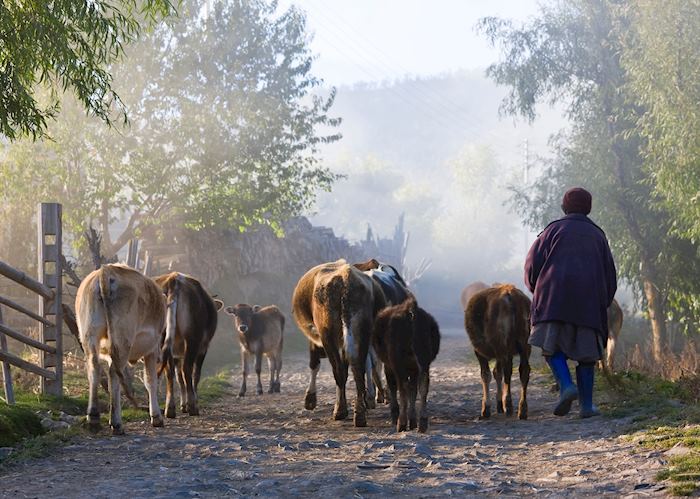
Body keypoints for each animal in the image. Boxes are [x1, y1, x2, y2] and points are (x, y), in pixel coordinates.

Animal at [75, 266, 165, 434]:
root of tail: (106, 271)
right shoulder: (151, 350)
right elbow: (150, 381)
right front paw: (156, 417)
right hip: (123, 339)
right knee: (114, 374)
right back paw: (116, 423)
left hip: (90, 335)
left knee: (95, 369)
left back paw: (93, 417)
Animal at [153, 274, 221, 418]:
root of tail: (174, 277)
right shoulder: (203, 348)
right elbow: (196, 374)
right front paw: (192, 402)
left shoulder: (176, 354)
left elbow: (179, 378)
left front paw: (182, 405)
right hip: (192, 339)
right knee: (187, 369)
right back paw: (193, 407)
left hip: (163, 339)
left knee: (169, 372)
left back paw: (170, 408)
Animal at [292, 260, 386, 428]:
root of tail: (346, 277)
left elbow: (315, 364)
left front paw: (310, 399)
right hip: (362, 331)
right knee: (358, 366)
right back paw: (360, 412)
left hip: (328, 334)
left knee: (339, 370)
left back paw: (340, 410)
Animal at [372, 296, 438, 434]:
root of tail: (410, 312)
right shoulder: (414, 370)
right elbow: (413, 390)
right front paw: (412, 421)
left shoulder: (390, 367)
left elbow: (394, 387)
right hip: (423, 363)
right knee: (423, 387)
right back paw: (422, 422)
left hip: (399, 365)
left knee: (402, 388)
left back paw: (401, 422)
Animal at [464, 286, 532, 422]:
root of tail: (509, 293)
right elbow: (497, 373)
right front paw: (499, 404)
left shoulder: (479, 352)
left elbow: (486, 375)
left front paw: (486, 408)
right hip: (525, 343)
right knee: (524, 370)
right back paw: (522, 409)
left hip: (502, 344)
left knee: (508, 372)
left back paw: (509, 405)